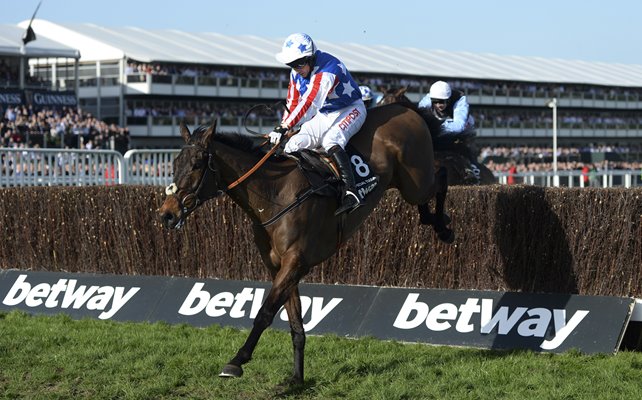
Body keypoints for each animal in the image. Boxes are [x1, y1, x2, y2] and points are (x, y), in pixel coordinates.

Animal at [158, 104, 452, 386]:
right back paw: (434, 220)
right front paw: (296, 379)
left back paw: (444, 227)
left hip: (416, 181)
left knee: (441, 176)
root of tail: (409, 111)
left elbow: (265, 313)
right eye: (174, 163)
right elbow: (295, 323)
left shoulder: (296, 261)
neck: (275, 193)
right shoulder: (279, 267)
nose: (167, 213)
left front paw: (237, 361)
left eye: (197, 164)